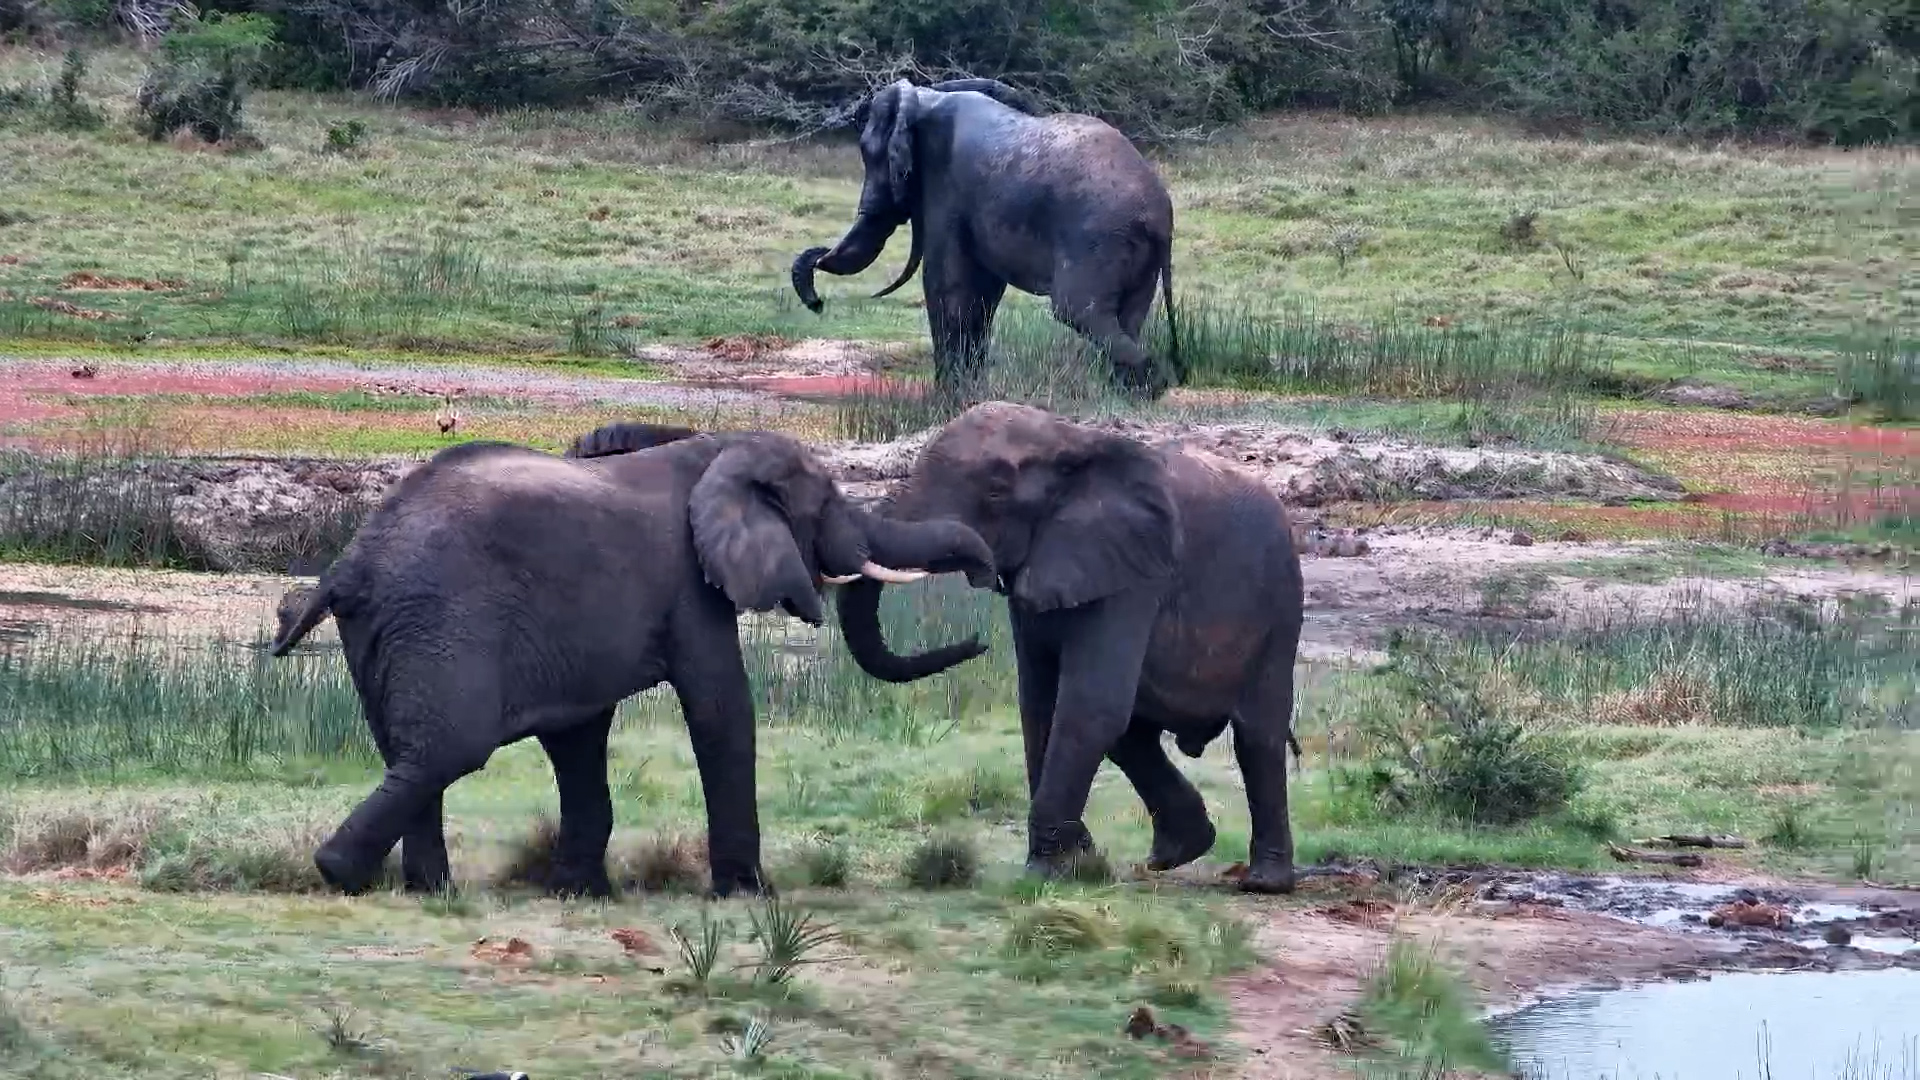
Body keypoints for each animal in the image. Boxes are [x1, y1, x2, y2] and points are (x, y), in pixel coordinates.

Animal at [268, 422, 995, 898]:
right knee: (450, 748)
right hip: (441, 617)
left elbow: (578, 736)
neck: (717, 452)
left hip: (385, 633)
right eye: (829, 506)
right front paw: (749, 895)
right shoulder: (690, 584)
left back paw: (425, 890)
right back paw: (342, 874)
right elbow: (720, 707)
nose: (987, 612)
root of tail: (349, 564)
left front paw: (579, 893)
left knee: (409, 751)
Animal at [792, 78, 1181, 401]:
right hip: (1132, 250)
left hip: (1096, 239)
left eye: (870, 155)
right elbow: (982, 290)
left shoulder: (947, 186)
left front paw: (949, 398)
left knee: (1076, 309)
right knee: (1129, 315)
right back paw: (1132, 395)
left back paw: (1147, 384)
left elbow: (948, 284)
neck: (926, 98)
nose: (817, 303)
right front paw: (967, 393)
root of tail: (1158, 213)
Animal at [833, 402, 1305, 893]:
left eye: (997, 492)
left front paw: (1046, 872)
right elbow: (1041, 704)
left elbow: (1090, 704)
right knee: (1132, 734)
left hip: (1280, 603)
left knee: (1257, 735)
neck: (1072, 440)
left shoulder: (1135, 576)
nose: (977, 643)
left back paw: (1263, 883)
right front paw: (1077, 864)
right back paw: (1175, 853)